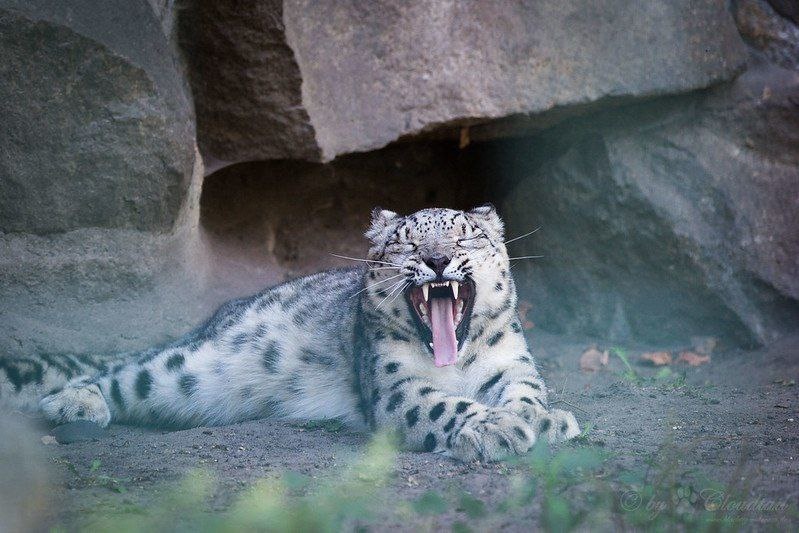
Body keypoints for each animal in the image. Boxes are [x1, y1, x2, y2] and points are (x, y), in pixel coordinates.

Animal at [1, 205, 579, 461]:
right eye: (408, 244)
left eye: (466, 237)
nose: (438, 260)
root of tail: (213, 319)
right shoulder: (397, 388)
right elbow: (444, 405)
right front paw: (498, 429)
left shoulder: (512, 364)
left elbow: (525, 394)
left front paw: (542, 420)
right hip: (188, 367)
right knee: (123, 371)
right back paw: (74, 405)